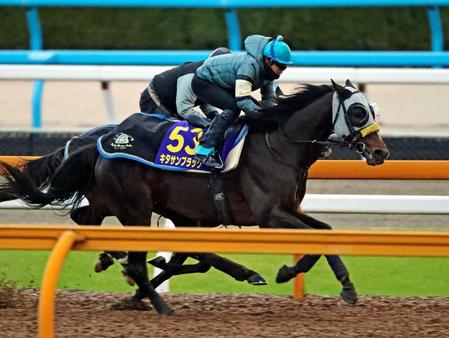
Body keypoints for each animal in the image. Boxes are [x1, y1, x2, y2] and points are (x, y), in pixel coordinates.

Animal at [0, 81, 386, 314]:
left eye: (372, 109)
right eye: (357, 112)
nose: (381, 152)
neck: (278, 144)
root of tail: (105, 140)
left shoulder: (288, 209)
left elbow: (325, 231)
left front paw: (342, 285)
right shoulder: (269, 215)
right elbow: (314, 239)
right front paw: (287, 271)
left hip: (112, 201)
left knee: (87, 222)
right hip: (135, 207)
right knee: (135, 256)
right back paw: (156, 298)